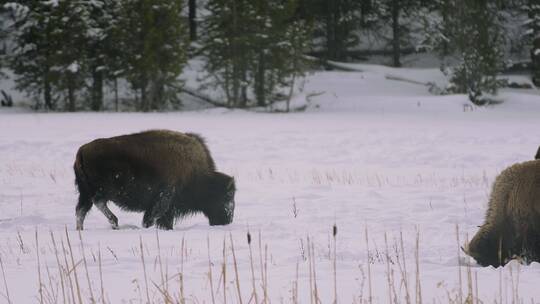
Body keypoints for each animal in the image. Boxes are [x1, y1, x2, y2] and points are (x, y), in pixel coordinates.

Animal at [74, 129, 236, 230]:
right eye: (227, 196)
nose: (227, 221)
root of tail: (82, 150)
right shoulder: (163, 199)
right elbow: (151, 218)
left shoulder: (168, 207)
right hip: (105, 190)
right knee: (97, 202)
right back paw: (114, 222)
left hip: (85, 192)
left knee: (81, 211)